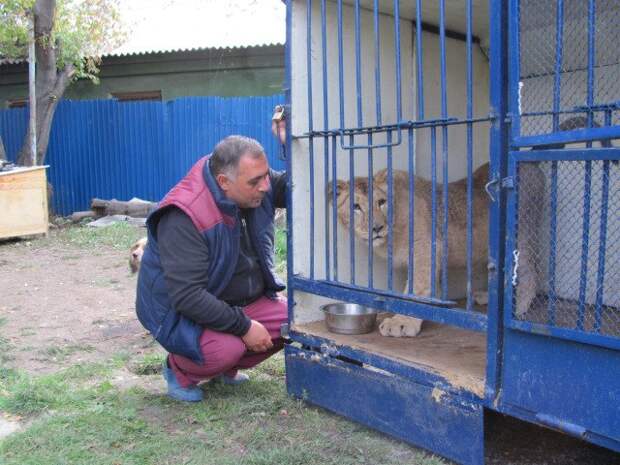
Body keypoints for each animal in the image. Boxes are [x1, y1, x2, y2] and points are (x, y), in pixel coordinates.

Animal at [332, 164, 492, 338]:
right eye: (355, 206)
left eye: (381, 202)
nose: (377, 228)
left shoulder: (425, 247)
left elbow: (417, 288)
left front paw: (402, 322)